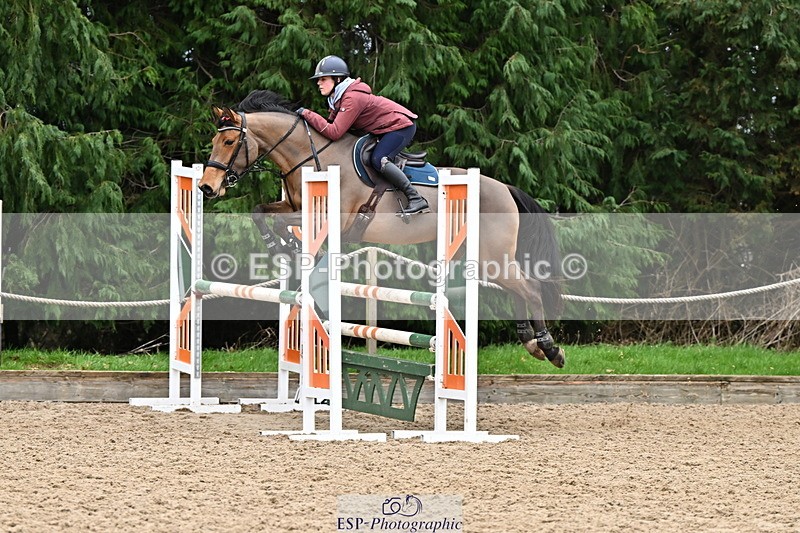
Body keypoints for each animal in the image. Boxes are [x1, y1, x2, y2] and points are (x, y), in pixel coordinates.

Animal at [198, 90, 565, 367]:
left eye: (229, 142)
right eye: (215, 141)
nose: (206, 187)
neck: (309, 155)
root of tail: (505, 188)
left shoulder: (333, 218)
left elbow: (274, 219)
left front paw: (283, 246)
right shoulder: (293, 207)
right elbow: (260, 212)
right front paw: (284, 247)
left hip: (492, 255)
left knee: (531, 288)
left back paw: (549, 347)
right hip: (484, 256)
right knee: (517, 288)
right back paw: (530, 343)